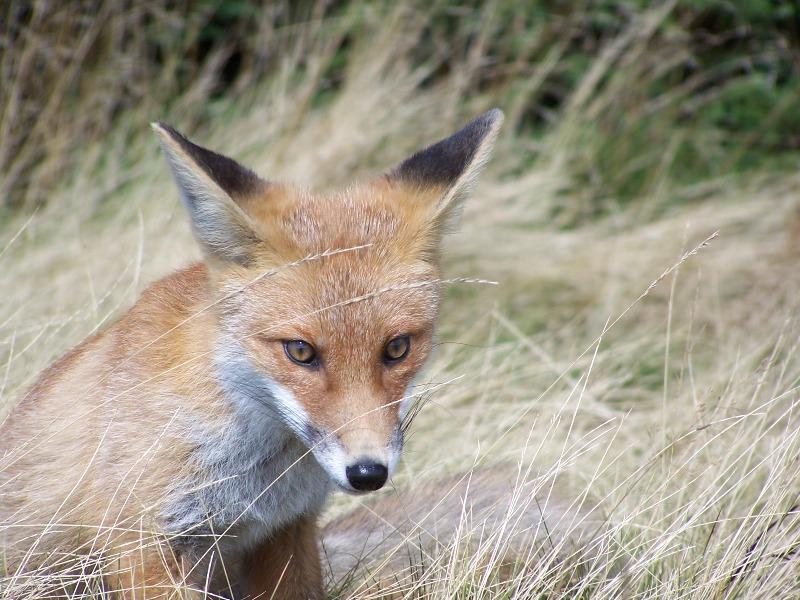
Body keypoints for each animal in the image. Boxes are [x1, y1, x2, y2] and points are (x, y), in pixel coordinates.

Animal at [0, 110, 506, 596]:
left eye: (397, 348)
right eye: (300, 351)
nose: (367, 473)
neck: (255, 484)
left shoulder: (285, 530)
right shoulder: (141, 543)